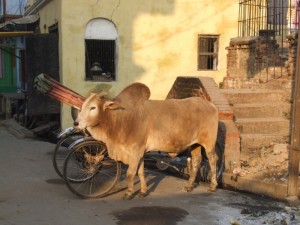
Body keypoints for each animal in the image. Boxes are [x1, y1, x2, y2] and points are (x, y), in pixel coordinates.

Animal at [74, 83, 220, 200]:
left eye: (93, 107)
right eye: (83, 106)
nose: (76, 123)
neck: (120, 118)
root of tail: (211, 105)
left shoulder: (135, 150)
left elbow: (130, 173)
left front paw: (129, 193)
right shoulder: (140, 151)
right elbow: (140, 172)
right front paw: (143, 191)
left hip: (209, 143)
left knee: (213, 159)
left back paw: (213, 186)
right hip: (195, 144)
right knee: (196, 161)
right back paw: (189, 186)